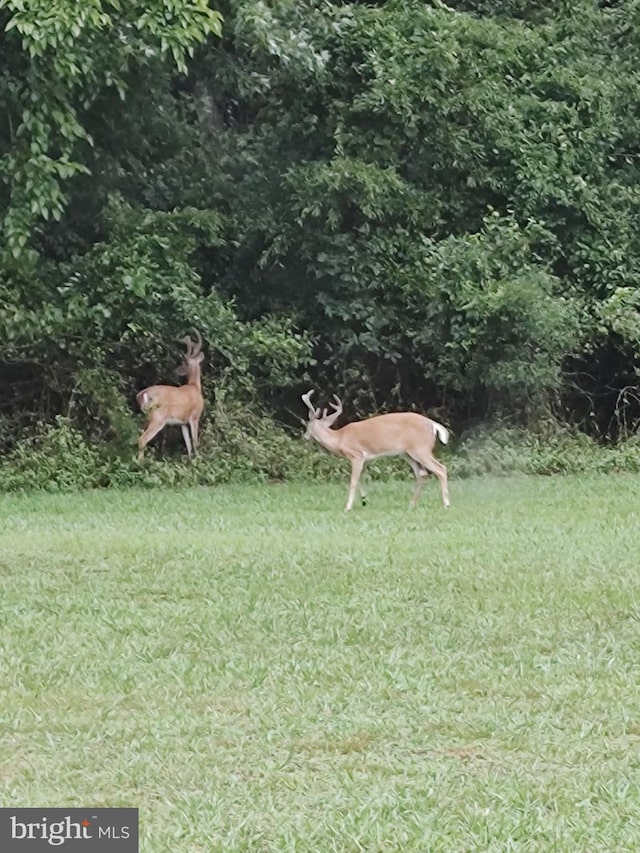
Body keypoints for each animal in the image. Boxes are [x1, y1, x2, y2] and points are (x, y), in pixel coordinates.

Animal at [136, 330, 204, 460]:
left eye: (183, 363)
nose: (175, 371)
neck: (195, 386)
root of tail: (142, 394)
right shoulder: (195, 416)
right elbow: (195, 442)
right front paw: (198, 460)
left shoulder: (182, 422)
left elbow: (188, 443)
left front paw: (190, 461)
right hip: (158, 417)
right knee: (142, 439)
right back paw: (140, 463)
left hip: (146, 417)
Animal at [302, 390, 448, 510]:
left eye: (308, 425)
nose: (305, 436)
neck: (340, 438)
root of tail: (433, 424)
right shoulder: (366, 459)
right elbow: (360, 479)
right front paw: (364, 499)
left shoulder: (356, 455)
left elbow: (353, 480)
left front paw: (347, 507)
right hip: (408, 453)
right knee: (422, 474)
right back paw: (411, 505)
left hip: (421, 449)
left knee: (441, 469)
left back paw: (446, 504)